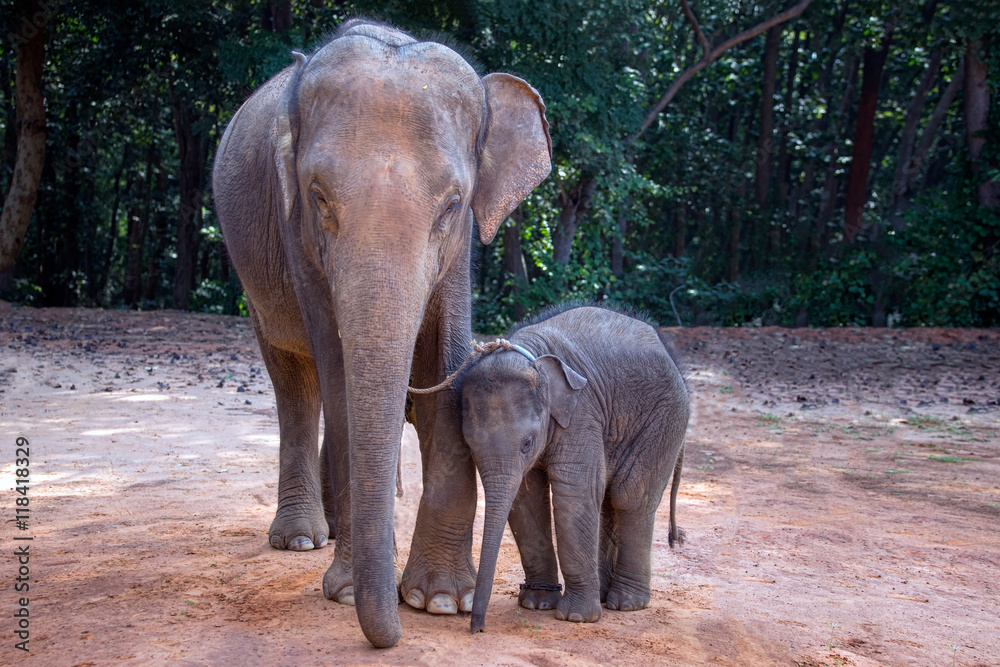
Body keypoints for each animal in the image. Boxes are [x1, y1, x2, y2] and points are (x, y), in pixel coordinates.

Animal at [211, 19, 551, 648]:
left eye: (452, 205)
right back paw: (301, 538)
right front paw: (348, 592)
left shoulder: (460, 252)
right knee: (296, 381)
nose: (388, 635)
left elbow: (445, 360)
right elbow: (339, 370)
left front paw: (439, 600)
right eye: (318, 197)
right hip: (255, 280)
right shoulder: (299, 241)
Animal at [457, 305, 688, 633]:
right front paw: (537, 604)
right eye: (470, 444)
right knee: (609, 499)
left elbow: (574, 492)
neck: (534, 356)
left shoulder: (581, 412)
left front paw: (576, 617)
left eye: (527, 444)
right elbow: (526, 499)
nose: (477, 628)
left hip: (666, 418)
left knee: (629, 495)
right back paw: (605, 595)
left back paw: (626, 603)